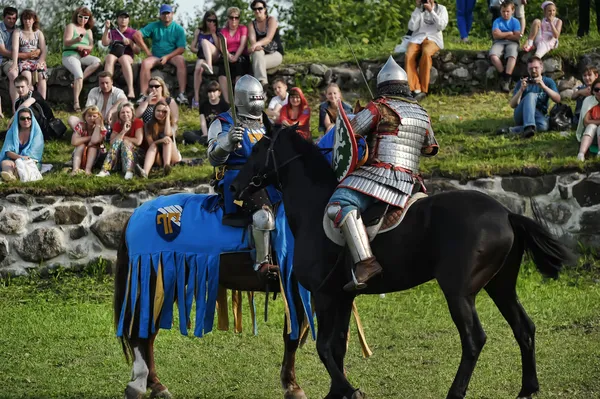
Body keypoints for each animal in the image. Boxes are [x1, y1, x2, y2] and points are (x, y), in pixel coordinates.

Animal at [113, 217, 310, 398]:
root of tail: (133, 218)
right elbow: (292, 338)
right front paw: (292, 387)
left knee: (149, 331)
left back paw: (156, 385)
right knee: (138, 328)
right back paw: (138, 384)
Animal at [231, 124, 576, 399]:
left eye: (258, 148)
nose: (234, 186)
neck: (314, 210)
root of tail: (506, 213)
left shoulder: (324, 295)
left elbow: (325, 348)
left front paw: (350, 390)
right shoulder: (342, 297)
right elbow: (337, 347)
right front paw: (337, 392)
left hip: (458, 292)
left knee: (474, 339)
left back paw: (456, 392)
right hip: (500, 286)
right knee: (524, 328)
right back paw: (527, 389)